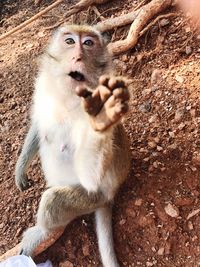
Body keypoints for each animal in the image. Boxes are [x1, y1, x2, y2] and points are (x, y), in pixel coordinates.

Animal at [15, 25, 131, 267]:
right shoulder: (43, 89)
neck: (66, 98)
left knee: (53, 200)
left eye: (88, 43)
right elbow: (39, 124)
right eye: (69, 41)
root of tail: (110, 196)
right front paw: (20, 170)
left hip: (91, 199)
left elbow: (90, 170)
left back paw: (44, 231)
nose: (77, 56)